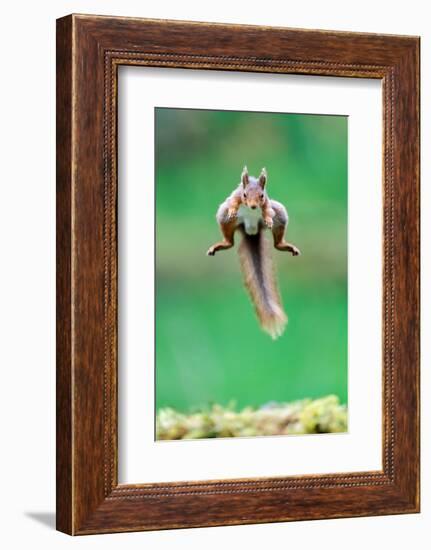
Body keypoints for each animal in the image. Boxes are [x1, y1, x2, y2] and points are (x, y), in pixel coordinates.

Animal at [208, 167, 302, 340]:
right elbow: (233, 202)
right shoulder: (236, 195)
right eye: (244, 194)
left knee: (277, 241)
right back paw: (223, 243)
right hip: (223, 215)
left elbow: (267, 210)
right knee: (229, 240)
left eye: (262, 195)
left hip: (280, 213)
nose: (252, 206)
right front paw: (234, 209)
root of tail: (251, 229)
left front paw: (268, 218)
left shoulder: (267, 203)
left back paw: (283, 244)